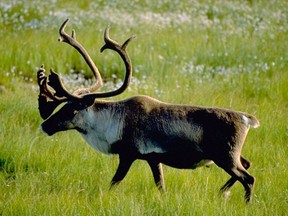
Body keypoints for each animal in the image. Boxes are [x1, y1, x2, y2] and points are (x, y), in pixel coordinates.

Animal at [37, 18, 260, 202]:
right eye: (62, 105)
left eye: (73, 109)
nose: (45, 125)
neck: (113, 121)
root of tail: (247, 119)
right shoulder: (153, 158)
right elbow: (160, 185)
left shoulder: (128, 154)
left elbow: (114, 183)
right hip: (228, 156)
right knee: (247, 164)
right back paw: (222, 191)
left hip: (226, 157)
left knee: (248, 178)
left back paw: (244, 202)